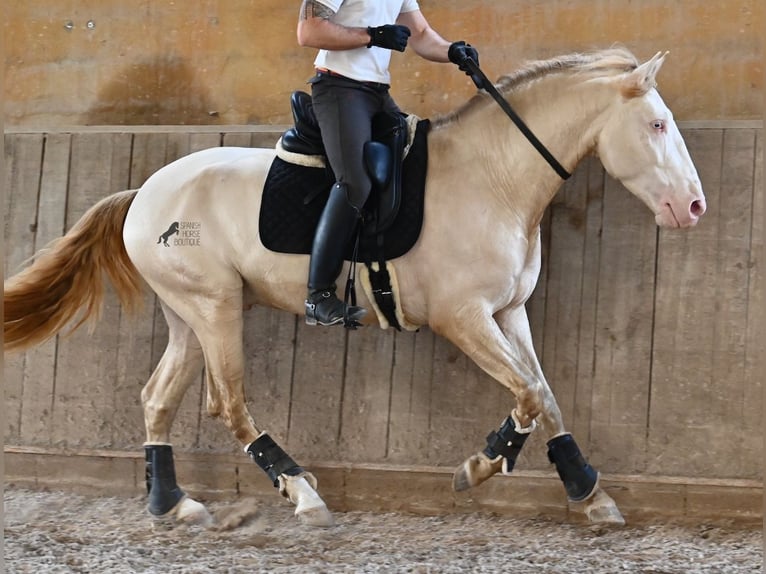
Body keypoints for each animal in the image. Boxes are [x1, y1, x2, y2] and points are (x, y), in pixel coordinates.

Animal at [3, 48, 708, 532]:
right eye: (657, 125)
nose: (693, 207)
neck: (492, 176)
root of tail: (143, 194)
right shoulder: (464, 317)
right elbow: (528, 394)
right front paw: (481, 465)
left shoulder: (509, 313)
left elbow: (546, 395)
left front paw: (590, 492)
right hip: (215, 308)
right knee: (228, 403)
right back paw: (303, 494)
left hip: (189, 313)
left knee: (157, 399)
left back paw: (172, 503)